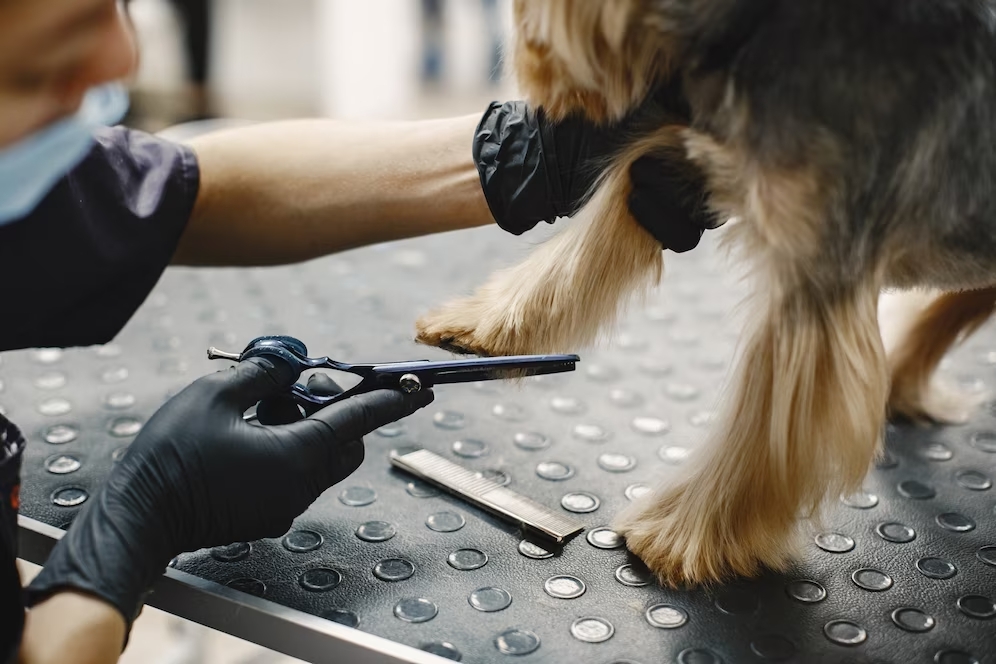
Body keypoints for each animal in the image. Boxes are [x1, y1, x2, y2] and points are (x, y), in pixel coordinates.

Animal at [412, 2, 996, 588]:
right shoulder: (678, 159)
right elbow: (595, 231)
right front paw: (487, 325)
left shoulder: (816, 274)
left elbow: (761, 426)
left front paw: (681, 535)